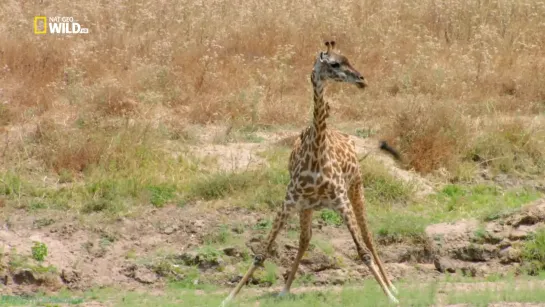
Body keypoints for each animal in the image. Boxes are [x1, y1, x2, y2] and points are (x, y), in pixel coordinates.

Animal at [221, 40, 400, 306]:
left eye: (348, 59)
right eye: (335, 64)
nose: (362, 79)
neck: (316, 154)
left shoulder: (341, 201)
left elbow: (363, 252)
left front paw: (390, 296)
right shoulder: (288, 202)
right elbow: (261, 252)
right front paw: (230, 296)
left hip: (357, 188)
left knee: (368, 237)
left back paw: (391, 285)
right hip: (307, 207)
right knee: (305, 238)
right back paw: (285, 289)